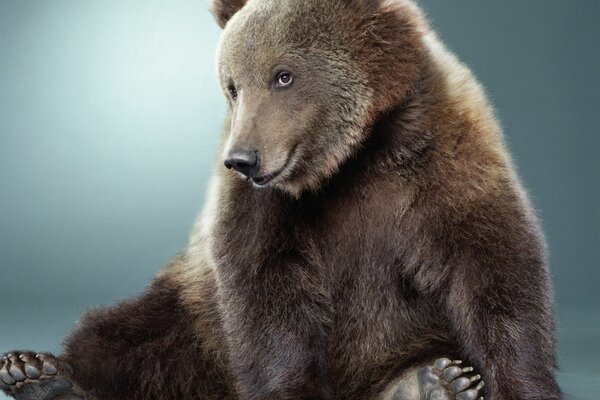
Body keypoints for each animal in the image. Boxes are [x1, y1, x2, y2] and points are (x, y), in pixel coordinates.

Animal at [1, 0, 564, 398]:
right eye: (232, 85)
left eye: (284, 75)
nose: (243, 158)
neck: (353, 157)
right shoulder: (262, 207)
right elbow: (265, 287)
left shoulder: (441, 157)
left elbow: (489, 265)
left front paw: (517, 383)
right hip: (193, 309)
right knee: (132, 333)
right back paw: (39, 373)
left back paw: (437, 381)